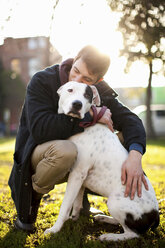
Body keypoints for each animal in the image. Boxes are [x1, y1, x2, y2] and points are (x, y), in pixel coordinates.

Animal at [44, 81, 160, 240]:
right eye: (70, 90)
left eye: (87, 95)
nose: (77, 104)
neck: (83, 126)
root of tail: (156, 214)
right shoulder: (79, 177)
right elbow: (77, 201)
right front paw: (74, 218)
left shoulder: (77, 173)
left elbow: (66, 204)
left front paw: (55, 229)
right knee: (122, 224)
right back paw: (104, 218)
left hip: (114, 202)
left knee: (133, 233)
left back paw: (110, 237)